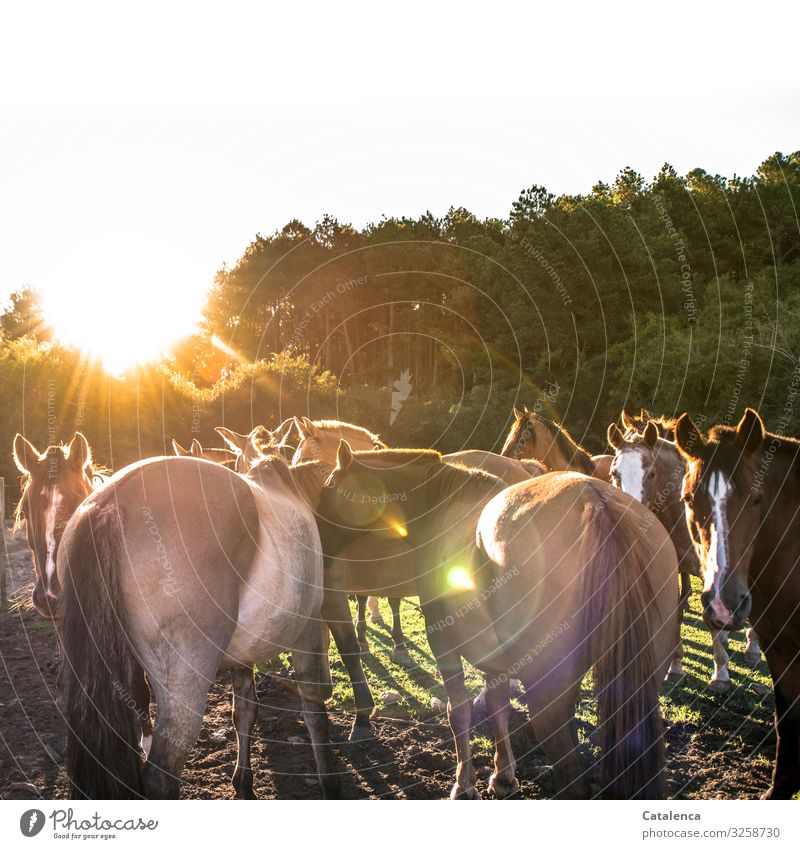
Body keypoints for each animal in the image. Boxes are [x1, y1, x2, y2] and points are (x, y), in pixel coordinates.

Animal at [55, 454, 338, 800]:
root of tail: (109, 504)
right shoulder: (308, 635)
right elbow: (314, 713)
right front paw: (330, 785)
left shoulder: (243, 657)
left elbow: (245, 713)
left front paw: (243, 784)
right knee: (161, 778)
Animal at [316, 440, 680, 800]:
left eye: (328, 487)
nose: (319, 552)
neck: (443, 501)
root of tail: (595, 501)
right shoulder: (496, 656)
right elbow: (497, 705)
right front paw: (503, 775)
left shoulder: (443, 642)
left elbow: (459, 711)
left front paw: (464, 784)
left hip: (548, 693)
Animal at [608, 420, 764, 684]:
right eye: (614, 473)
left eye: (651, 474)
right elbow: (677, 611)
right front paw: (675, 666)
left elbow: (708, 618)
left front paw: (720, 672)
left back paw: (752, 647)